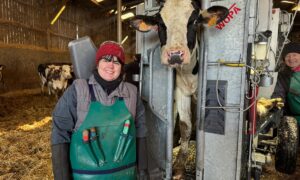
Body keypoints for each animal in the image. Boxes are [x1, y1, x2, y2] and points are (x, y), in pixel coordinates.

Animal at [131, 0, 227, 179]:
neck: (189, 75)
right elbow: (185, 125)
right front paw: (179, 166)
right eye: (160, 23)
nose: (175, 54)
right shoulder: (180, 92)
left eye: (194, 21)